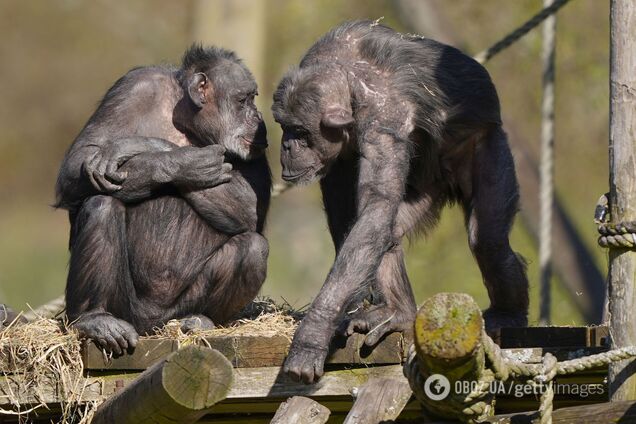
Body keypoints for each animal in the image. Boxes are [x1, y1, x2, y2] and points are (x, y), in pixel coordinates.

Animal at [56, 44, 270, 354]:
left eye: (251, 98)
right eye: (243, 100)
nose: (257, 116)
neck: (186, 121)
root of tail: (154, 326)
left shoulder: (256, 142)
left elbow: (251, 205)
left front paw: (136, 146)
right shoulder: (134, 88)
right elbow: (82, 158)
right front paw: (182, 161)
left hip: (177, 311)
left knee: (254, 248)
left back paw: (201, 320)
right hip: (128, 309)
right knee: (100, 204)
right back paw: (94, 319)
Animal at [272, 21, 528, 382]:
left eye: (300, 131)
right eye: (284, 126)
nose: (286, 145)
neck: (351, 82)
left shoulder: (385, 121)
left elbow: (376, 205)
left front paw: (312, 336)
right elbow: (360, 217)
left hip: (489, 144)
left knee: (488, 241)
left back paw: (509, 315)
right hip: (426, 187)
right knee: (387, 232)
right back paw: (399, 313)